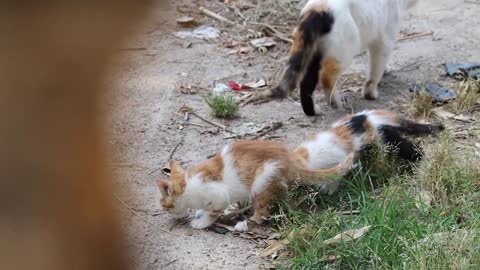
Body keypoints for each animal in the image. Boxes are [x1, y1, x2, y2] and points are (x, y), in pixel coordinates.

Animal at [157, 141, 352, 230]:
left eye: (164, 204)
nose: (164, 211)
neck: (189, 185)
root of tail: (289, 158)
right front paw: (199, 212)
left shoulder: (219, 194)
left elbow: (213, 212)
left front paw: (201, 222)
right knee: (283, 191)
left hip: (262, 181)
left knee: (264, 208)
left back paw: (249, 222)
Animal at [296, 109, 446, 194]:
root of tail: (369, 116)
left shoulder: (340, 159)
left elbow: (336, 176)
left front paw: (328, 189)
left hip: (389, 139)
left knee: (413, 150)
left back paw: (422, 163)